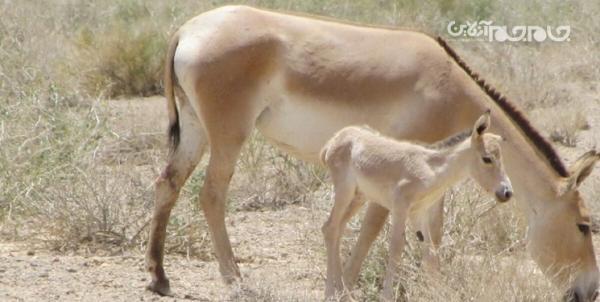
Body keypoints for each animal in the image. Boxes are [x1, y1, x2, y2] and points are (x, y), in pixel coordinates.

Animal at [322, 112, 512, 300]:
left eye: (501, 157)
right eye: (487, 158)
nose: (507, 192)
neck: (432, 169)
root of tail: (334, 139)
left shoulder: (418, 212)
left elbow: (430, 255)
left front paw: (440, 294)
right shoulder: (400, 207)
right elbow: (396, 248)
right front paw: (387, 296)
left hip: (359, 197)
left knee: (336, 228)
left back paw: (341, 291)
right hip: (344, 191)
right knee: (331, 228)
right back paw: (330, 292)